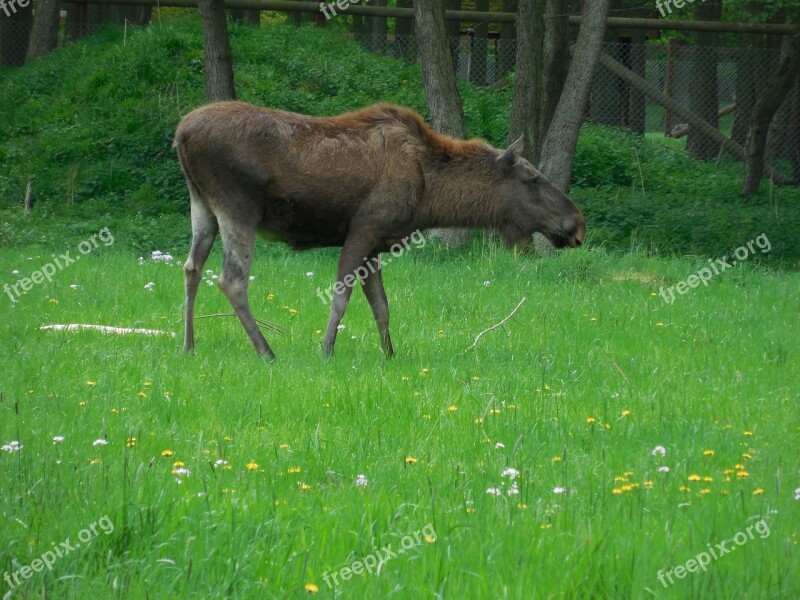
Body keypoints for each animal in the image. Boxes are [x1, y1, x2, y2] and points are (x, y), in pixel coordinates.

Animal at [177, 102, 588, 360]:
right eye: (533, 178)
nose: (577, 225)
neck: (430, 192)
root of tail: (180, 134)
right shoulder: (364, 228)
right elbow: (341, 297)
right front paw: (325, 351)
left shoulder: (377, 245)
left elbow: (381, 305)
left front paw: (389, 354)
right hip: (238, 208)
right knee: (232, 280)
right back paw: (266, 352)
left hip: (203, 206)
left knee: (191, 268)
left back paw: (189, 346)